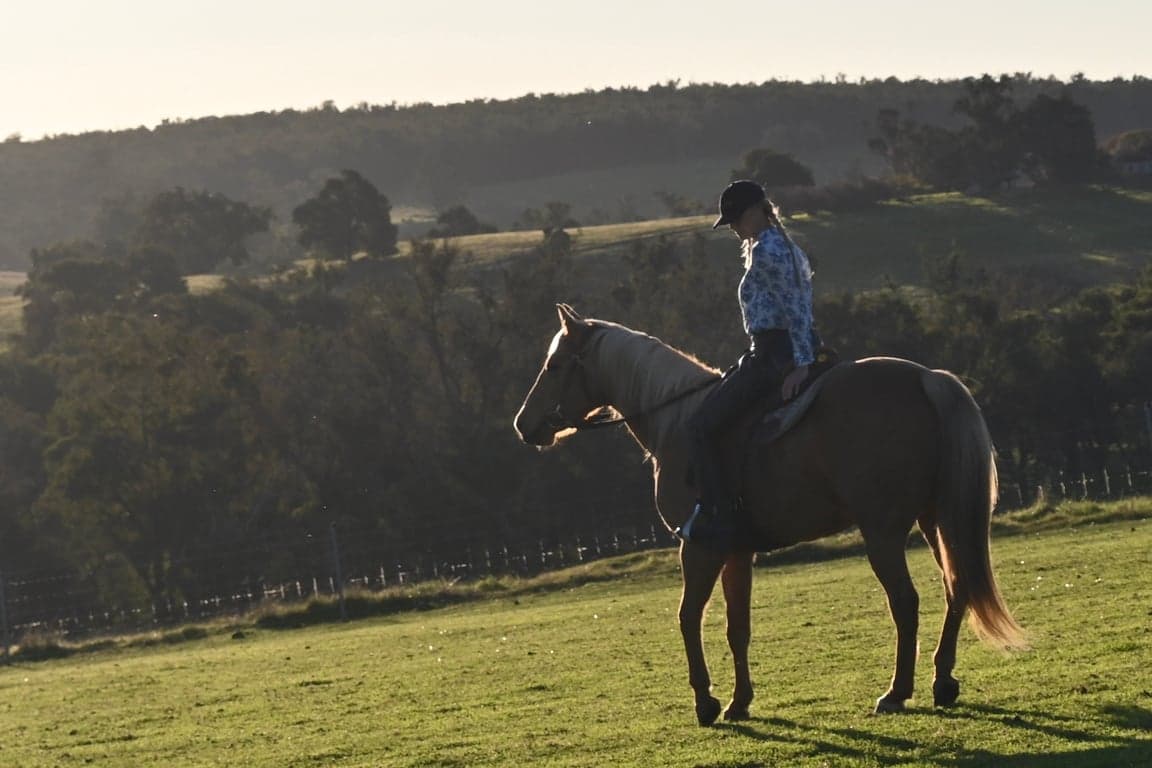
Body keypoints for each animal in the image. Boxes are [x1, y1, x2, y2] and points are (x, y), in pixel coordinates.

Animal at [513, 304, 1025, 725]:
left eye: (554, 365)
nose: (523, 424)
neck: (677, 423)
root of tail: (926, 377)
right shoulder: (737, 552)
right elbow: (737, 627)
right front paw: (739, 702)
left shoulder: (699, 546)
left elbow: (688, 616)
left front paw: (706, 702)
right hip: (936, 519)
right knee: (957, 588)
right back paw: (942, 681)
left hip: (882, 531)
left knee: (905, 602)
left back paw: (896, 693)